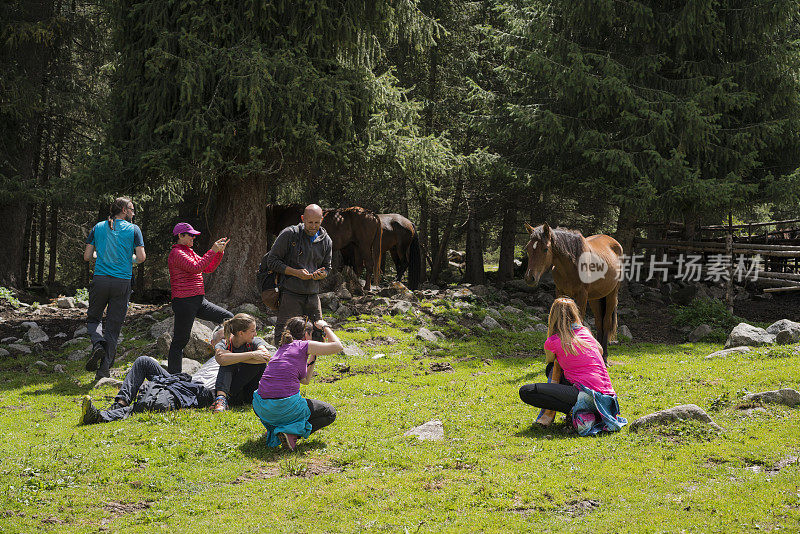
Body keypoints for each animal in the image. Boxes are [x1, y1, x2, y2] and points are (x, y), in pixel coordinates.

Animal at [524, 222, 624, 364]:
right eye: (528, 248)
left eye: (545, 249)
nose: (529, 278)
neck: (572, 264)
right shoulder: (560, 293)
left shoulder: (582, 295)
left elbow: (580, 321)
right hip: (595, 298)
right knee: (599, 322)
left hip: (611, 295)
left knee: (606, 322)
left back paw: (604, 357)